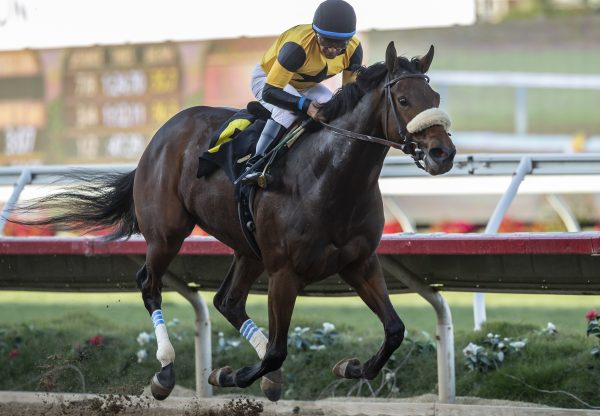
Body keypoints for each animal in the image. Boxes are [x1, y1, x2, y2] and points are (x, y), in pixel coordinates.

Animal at [11, 41, 454, 400]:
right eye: (403, 98)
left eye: (434, 94)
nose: (443, 153)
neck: (329, 176)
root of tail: (162, 132)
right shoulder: (284, 272)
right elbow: (277, 351)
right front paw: (228, 374)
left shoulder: (359, 262)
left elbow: (394, 330)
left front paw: (351, 366)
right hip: (167, 234)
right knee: (150, 284)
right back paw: (165, 371)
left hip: (248, 247)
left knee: (227, 300)